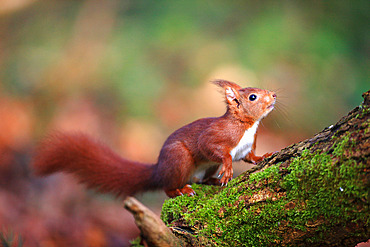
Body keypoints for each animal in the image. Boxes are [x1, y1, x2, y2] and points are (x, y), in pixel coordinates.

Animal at [32, 80, 274, 198]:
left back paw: (212, 181)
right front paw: (228, 167)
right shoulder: (217, 134)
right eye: (253, 96)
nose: (274, 95)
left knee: (201, 180)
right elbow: (211, 148)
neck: (248, 126)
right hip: (179, 159)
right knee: (167, 187)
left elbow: (250, 157)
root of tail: (158, 169)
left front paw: (264, 156)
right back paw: (180, 190)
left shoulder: (246, 146)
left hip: (202, 168)